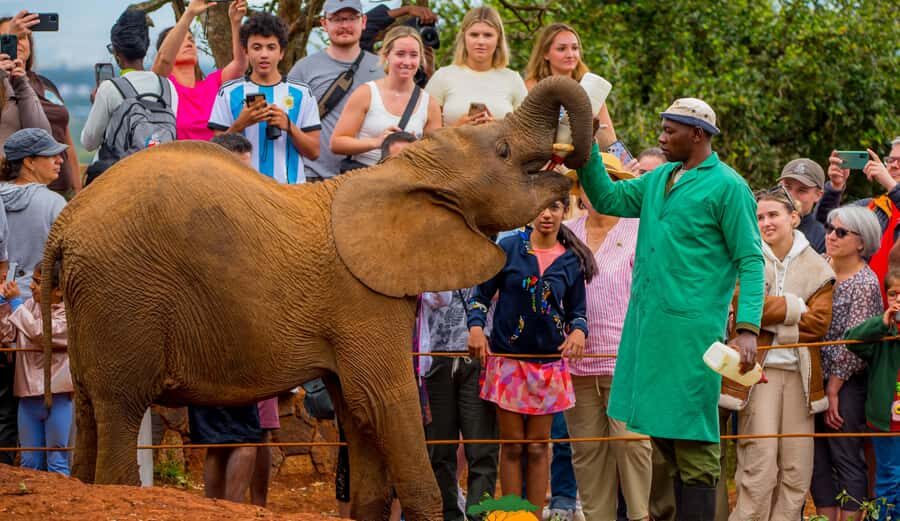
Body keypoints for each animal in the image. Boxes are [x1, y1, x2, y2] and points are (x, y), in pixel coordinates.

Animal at [39, 76, 593, 520]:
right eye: (502, 151)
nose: (572, 164)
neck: (407, 173)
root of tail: (65, 224)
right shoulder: (363, 297)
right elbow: (385, 401)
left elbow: (358, 416)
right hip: (124, 294)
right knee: (119, 410)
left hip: (97, 303)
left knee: (89, 412)